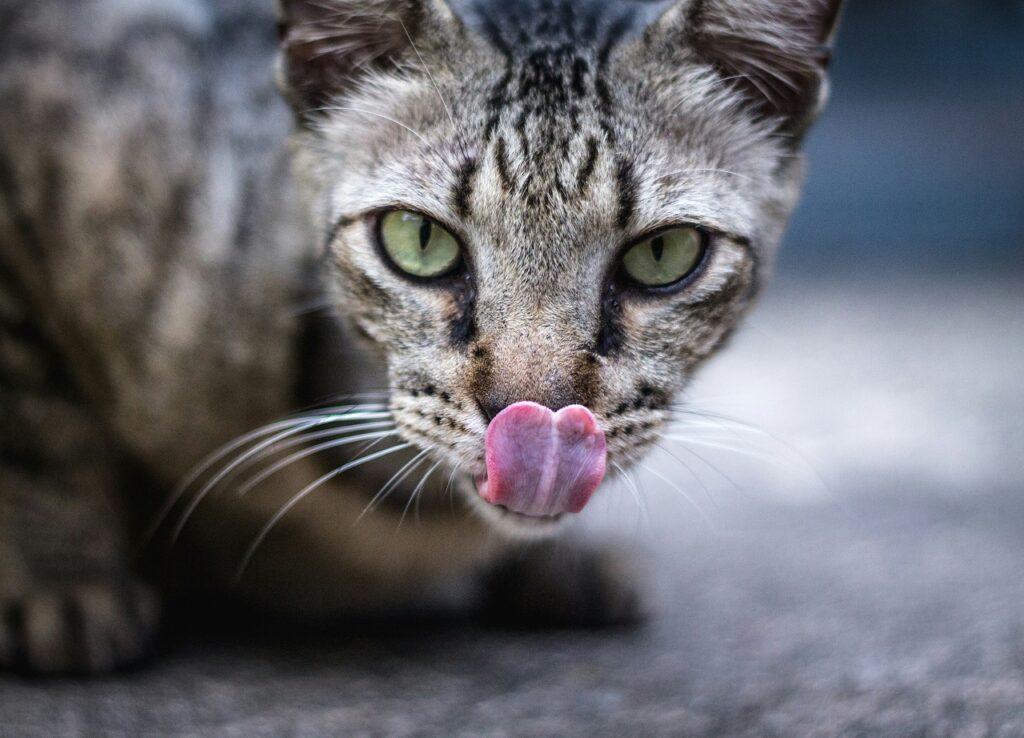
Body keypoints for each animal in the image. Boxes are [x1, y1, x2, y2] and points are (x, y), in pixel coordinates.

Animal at [0, 0, 843, 671]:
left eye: (663, 255)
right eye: (418, 240)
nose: (534, 418)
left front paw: (559, 564)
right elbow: (36, 423)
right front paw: (63, 581)